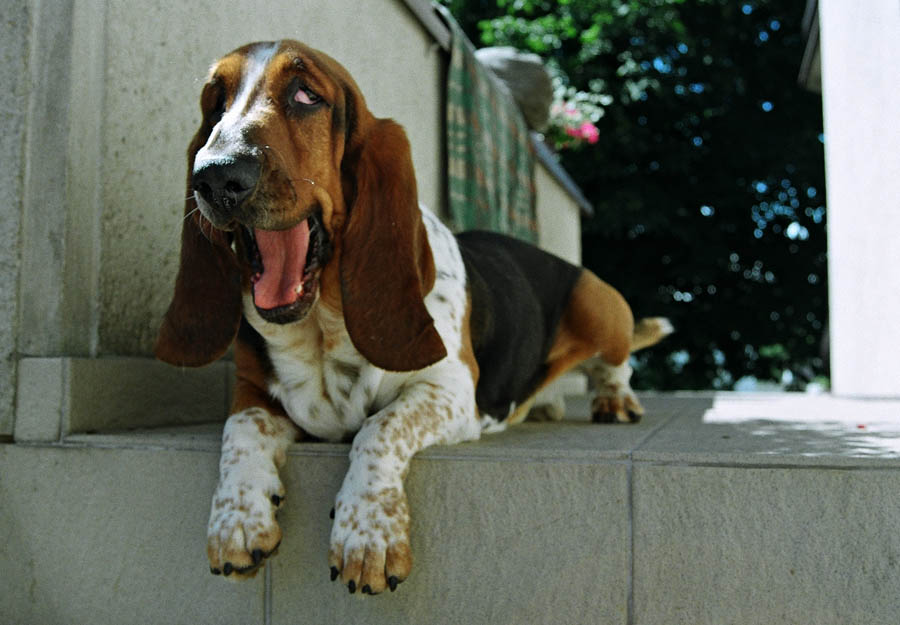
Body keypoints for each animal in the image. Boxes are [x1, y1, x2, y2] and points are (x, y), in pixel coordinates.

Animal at [155, 40, 671, 594]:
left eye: (306, 95)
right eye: (215, 103)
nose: (215, 176)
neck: (322, 331)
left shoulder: (449, 390)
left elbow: (379, 427)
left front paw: (367, 536)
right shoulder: (252, 391)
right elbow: (241, 430)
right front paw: (237, 520)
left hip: (598, 299)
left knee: (615, 364)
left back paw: (614, 400)